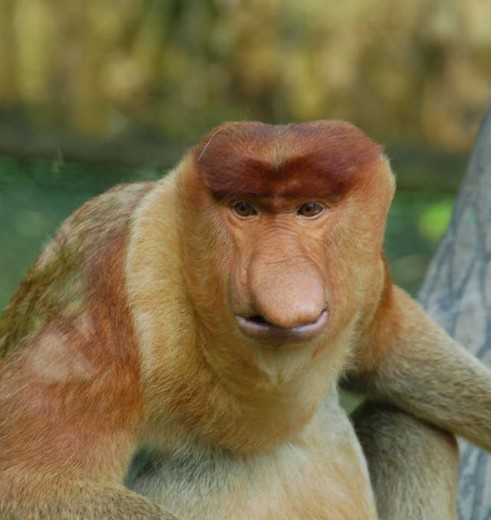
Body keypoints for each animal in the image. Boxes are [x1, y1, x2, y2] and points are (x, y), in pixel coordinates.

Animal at [0, 122, 491, 520]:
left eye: (309, 209)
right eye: (244, 209)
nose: (281, 281)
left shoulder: (364, 277)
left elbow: (390, 345)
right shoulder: (112, 281)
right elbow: (30, 482)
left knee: (408, 426)